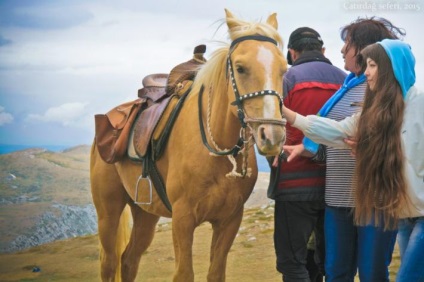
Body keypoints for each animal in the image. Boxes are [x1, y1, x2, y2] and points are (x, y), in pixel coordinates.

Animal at [90, 9, 286, 282]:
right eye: (240, 68)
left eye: (284, 69)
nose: (272, 135)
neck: (216, 152)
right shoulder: (182, 219)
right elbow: (184, 273)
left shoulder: (229, 220)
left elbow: (216, 273)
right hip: (108, 213)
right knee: (109, 264)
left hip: (145, 214)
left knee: (129, 260)